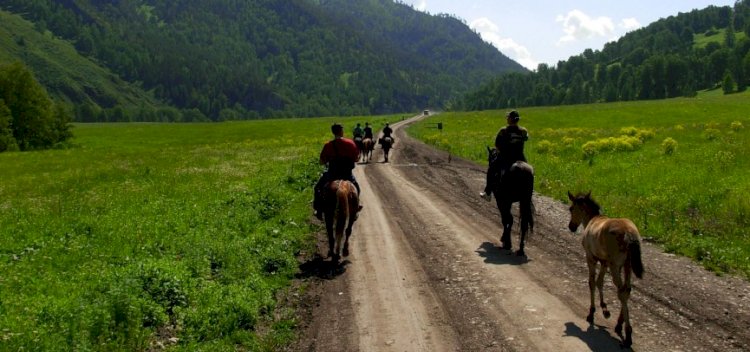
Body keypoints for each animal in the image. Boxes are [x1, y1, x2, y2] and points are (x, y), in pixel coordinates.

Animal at [568, 191, 648, 348]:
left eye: (571, 208)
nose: (571, 227)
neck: (592, 220)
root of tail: (629, 234)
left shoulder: (591, 257)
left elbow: (592, 282)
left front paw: (591, 313)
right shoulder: (604, 261)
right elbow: (600, 282)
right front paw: (605, 309)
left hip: (615, 265)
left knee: (621, 291)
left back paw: (627, 334)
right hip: (626, 265)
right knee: (627, 289)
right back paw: (619, 324)